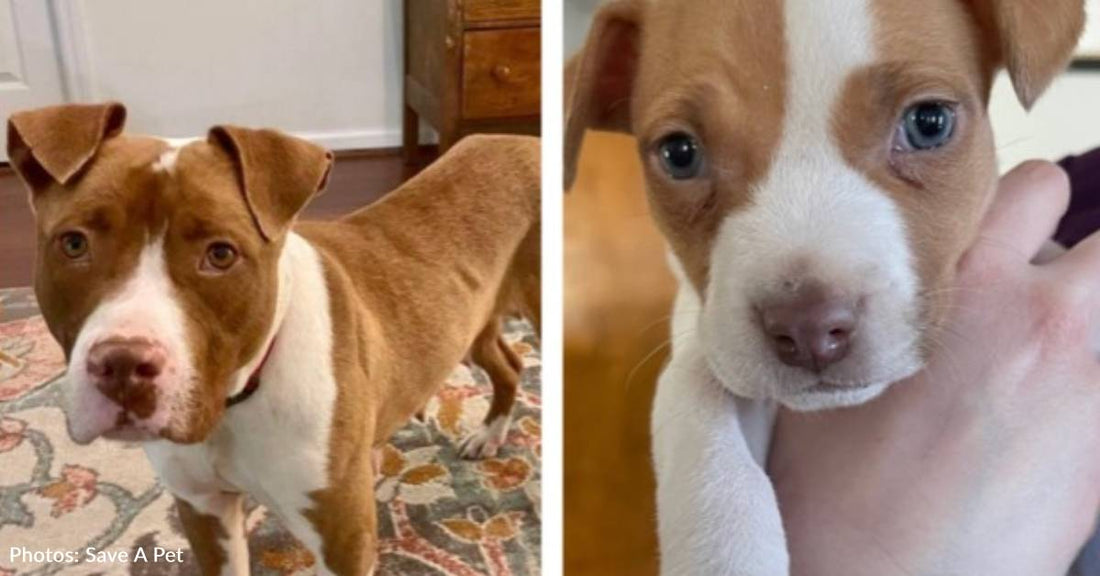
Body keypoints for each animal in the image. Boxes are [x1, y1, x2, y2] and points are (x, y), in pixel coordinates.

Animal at [572, 0, 1086, 571]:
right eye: (679, 153)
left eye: (929, 123)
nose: (808, 329)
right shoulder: (706, 331)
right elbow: (696, 393)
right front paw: (728, 551)